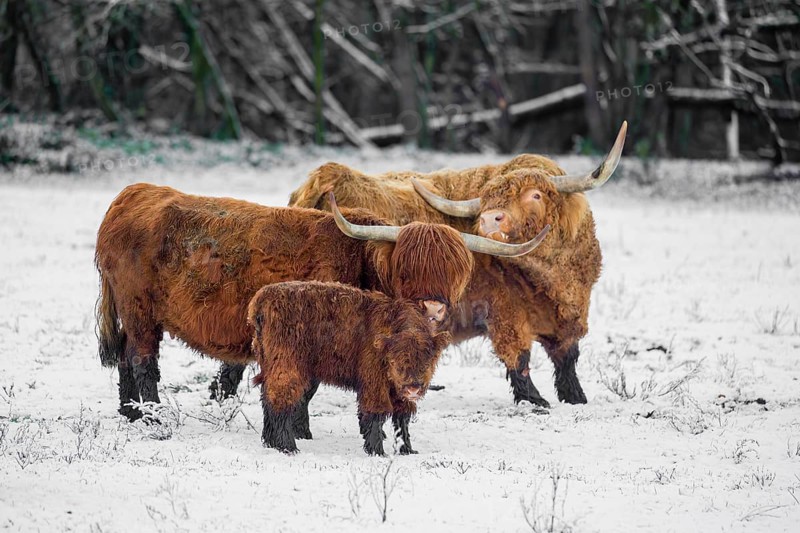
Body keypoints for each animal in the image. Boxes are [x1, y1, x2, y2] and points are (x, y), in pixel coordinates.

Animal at [95, 185, 549, 424]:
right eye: (406, 269)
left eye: (455, 272)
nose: (434, 310)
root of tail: (132, 195)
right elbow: (306, 386)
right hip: (140, 311)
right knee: (142, 361)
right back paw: (152, 416)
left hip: (131, 314)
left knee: (125, 359)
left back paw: (129, 413)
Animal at [277, 123, 628, 408]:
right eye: (487, 200)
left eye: (536, 195)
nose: (489, 219)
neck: (552, 282)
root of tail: (323, 180)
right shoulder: (506, 313)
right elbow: (519, 357)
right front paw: (537, 400)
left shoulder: (570, 315)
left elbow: (567, 357)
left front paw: (575, 397)